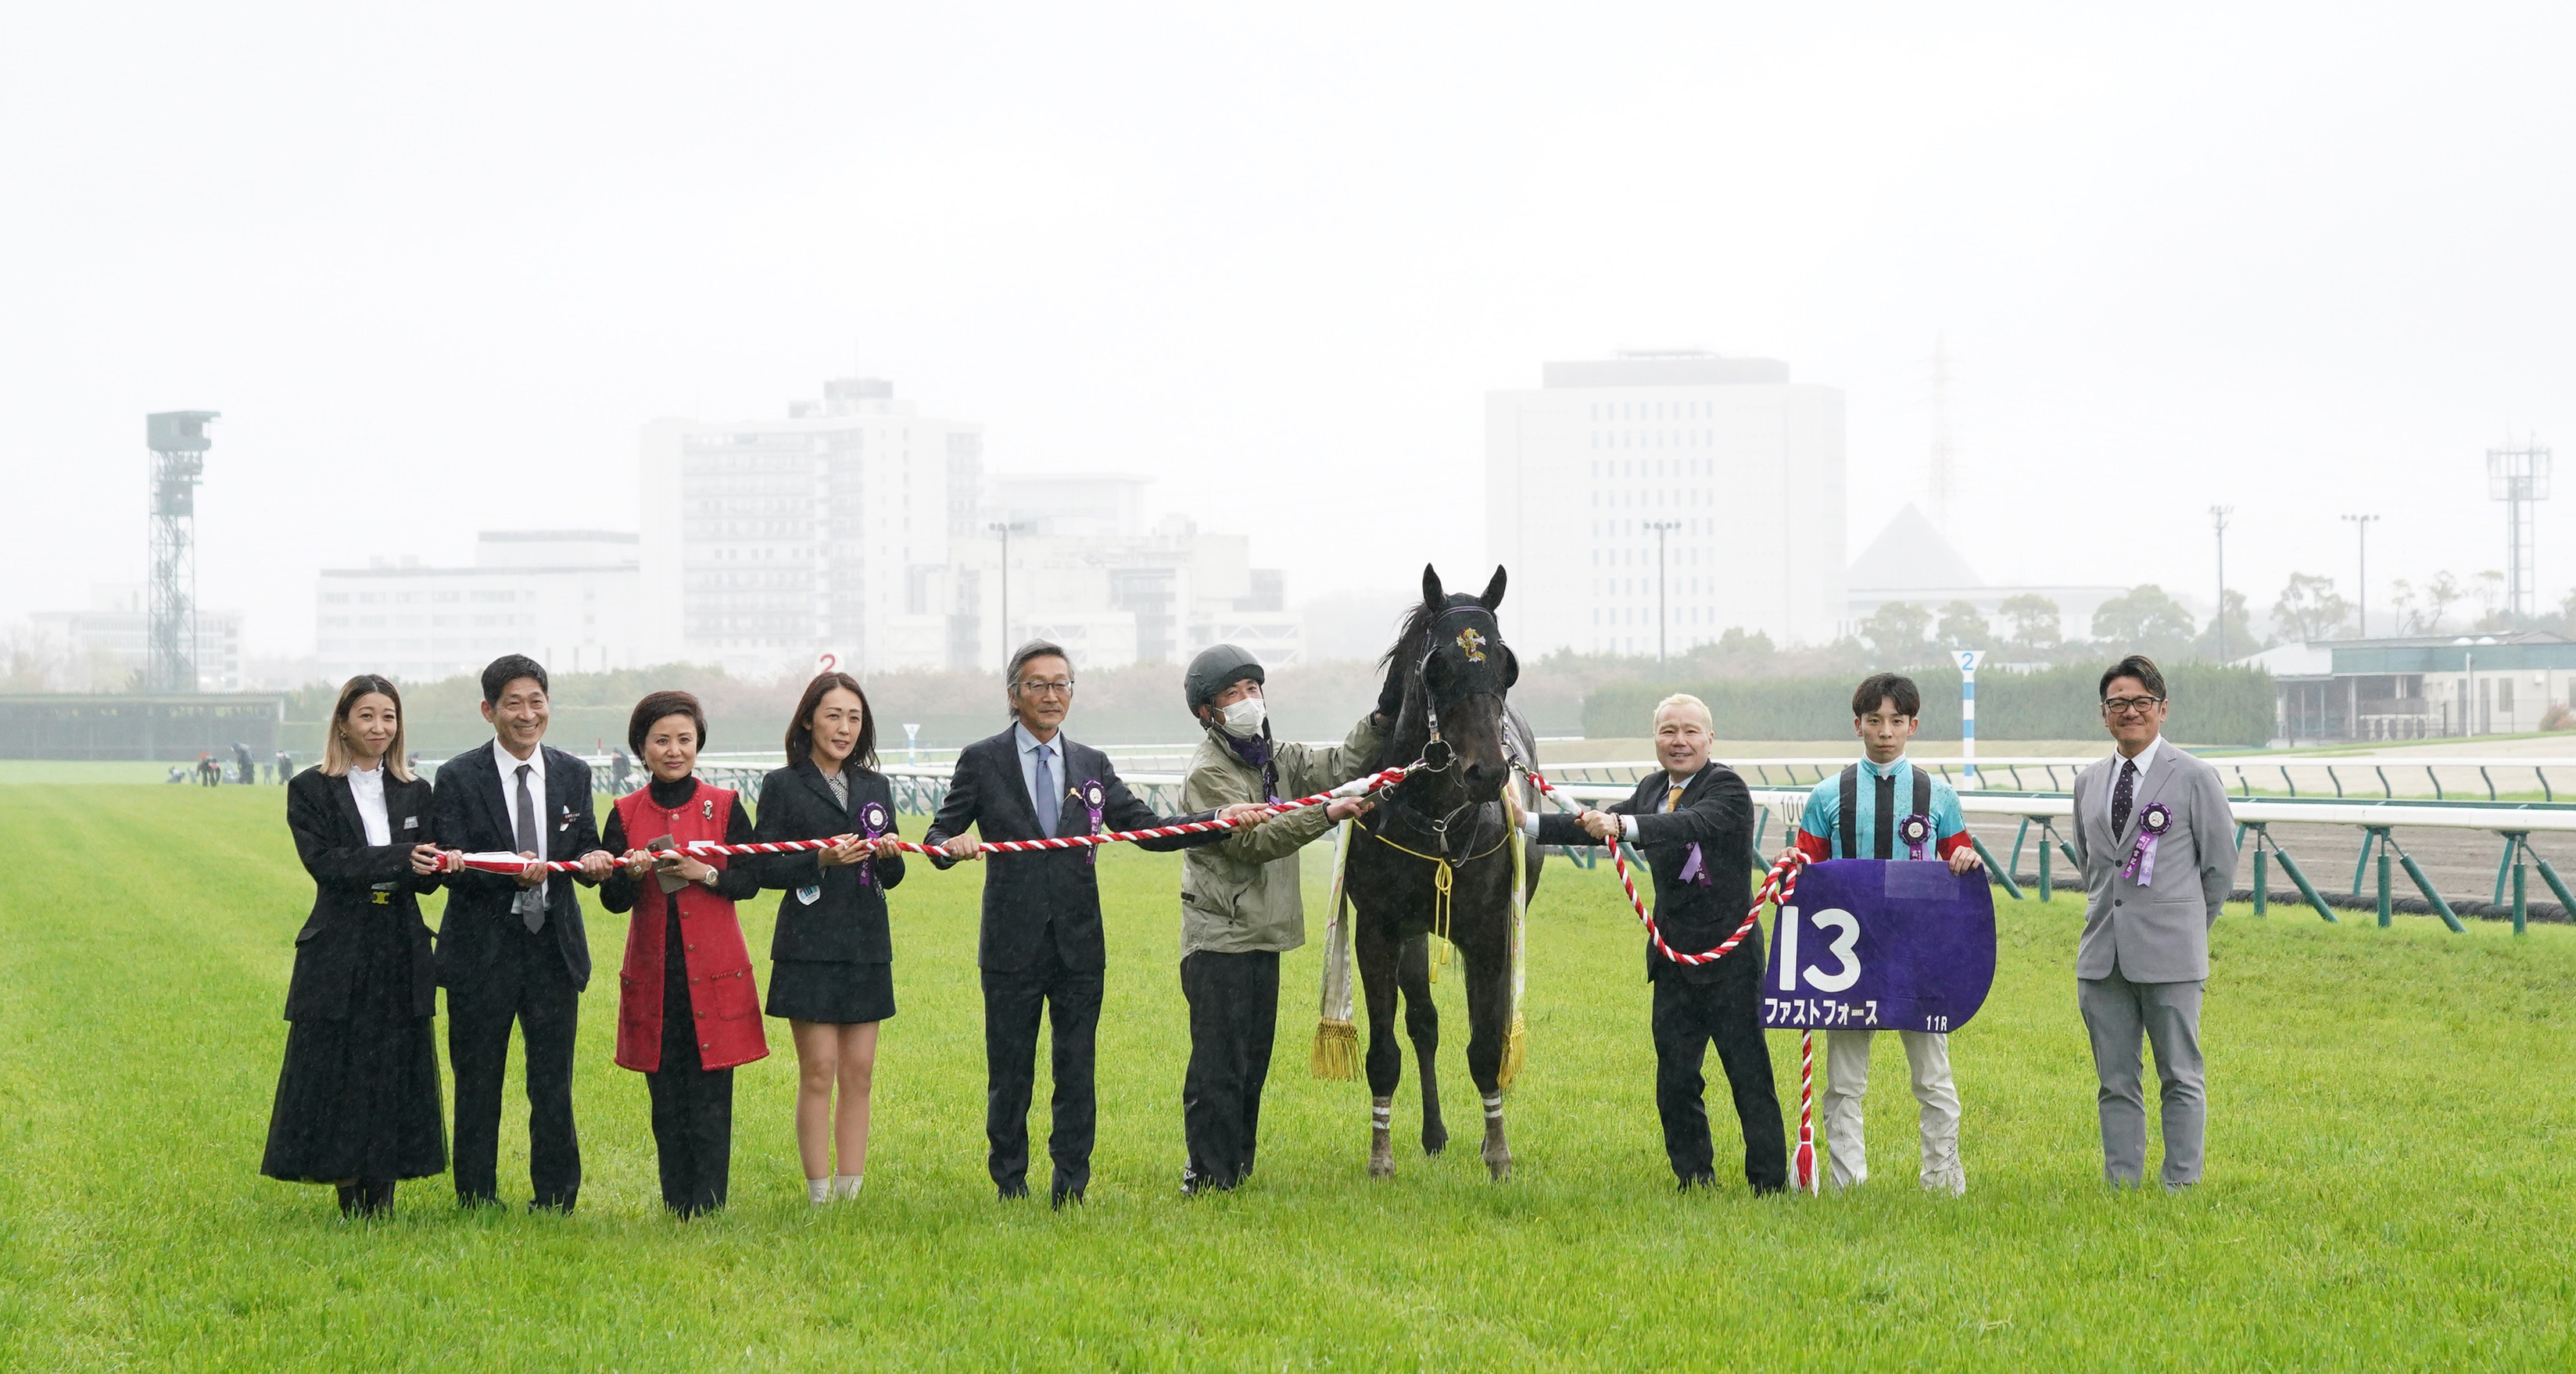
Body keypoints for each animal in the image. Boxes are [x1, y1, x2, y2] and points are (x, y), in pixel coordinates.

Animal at [1349, 566, 1546, 1178]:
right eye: (1436, 666)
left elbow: (1485, 1046)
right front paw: (1381, 1156)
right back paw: (1433, 1132)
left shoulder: (1488, 931)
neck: (1436, 818)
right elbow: (1386, 1050)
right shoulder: (1380, 929)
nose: (1487, 772)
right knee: (1424, 1022)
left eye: (1506, 663)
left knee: (1493, 1027)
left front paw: (1498, 1152)